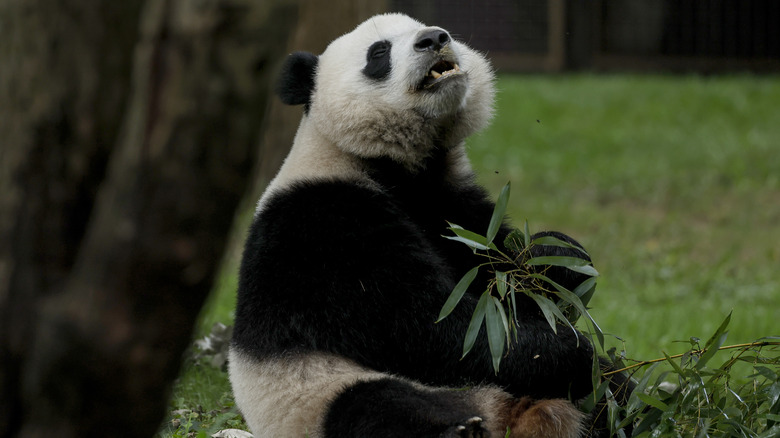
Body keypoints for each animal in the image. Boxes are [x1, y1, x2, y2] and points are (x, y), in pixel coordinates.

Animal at [229, 12, 624, 436]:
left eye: (425, 26)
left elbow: (500, 272)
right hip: (315, 394)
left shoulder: (451, 204)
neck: (394, 164)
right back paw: (460, 429)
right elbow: (428, 326)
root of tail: (509, 414)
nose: (434, 39)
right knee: (375, 406)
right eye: (379, 52)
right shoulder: (323, 223)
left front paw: (556, 258)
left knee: (617, 390)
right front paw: (568, 350)